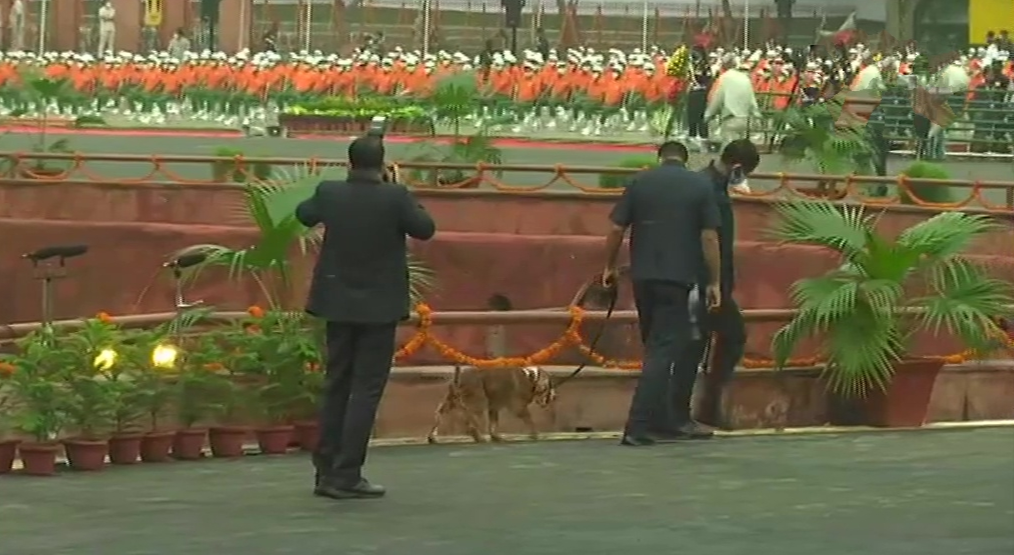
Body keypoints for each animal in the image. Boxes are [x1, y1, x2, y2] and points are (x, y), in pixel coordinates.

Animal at [423, 367, 559, 444]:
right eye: (550, 385)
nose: (555, 396)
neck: (531, 377)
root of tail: (458, 379)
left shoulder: (494, 407)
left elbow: (493, 422)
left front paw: (496, 437)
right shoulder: (518, 406)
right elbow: (528, 419)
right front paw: (535, 434)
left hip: (450, 401)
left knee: (440, 415)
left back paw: (432, 437)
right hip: (478, 401)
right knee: (471, 422)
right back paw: (479, 438)